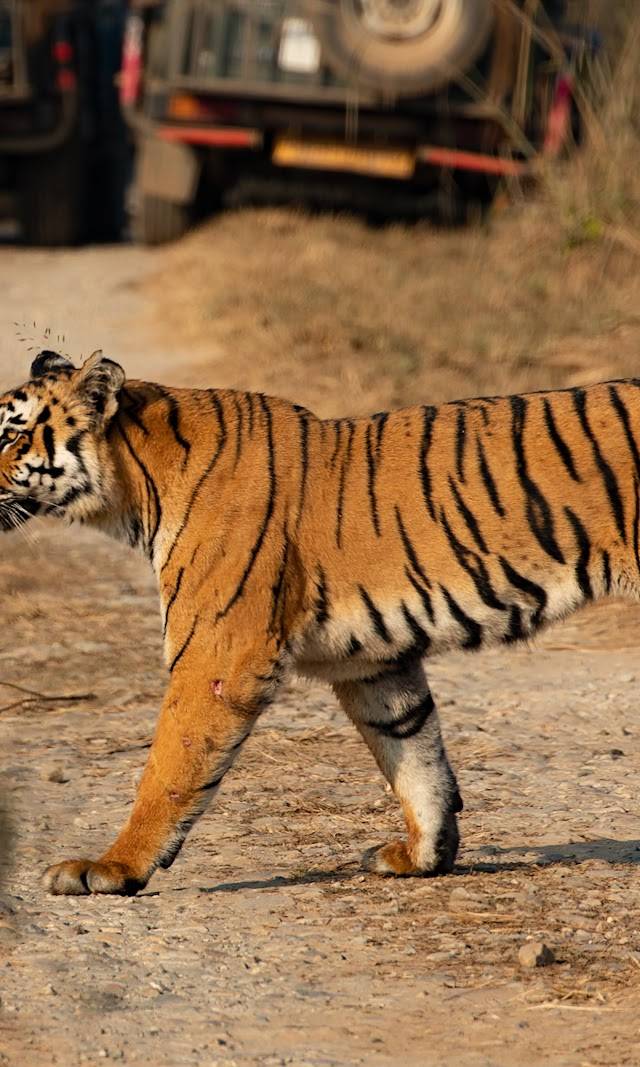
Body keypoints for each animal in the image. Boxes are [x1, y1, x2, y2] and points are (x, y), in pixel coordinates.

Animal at [0, 348, 638, 896]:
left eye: (8, 434)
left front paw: (113, 867)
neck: (134, 492)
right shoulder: (374, 664)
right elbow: (415, 757)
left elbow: (170, 766)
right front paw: (423, 856)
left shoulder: (218, 656)